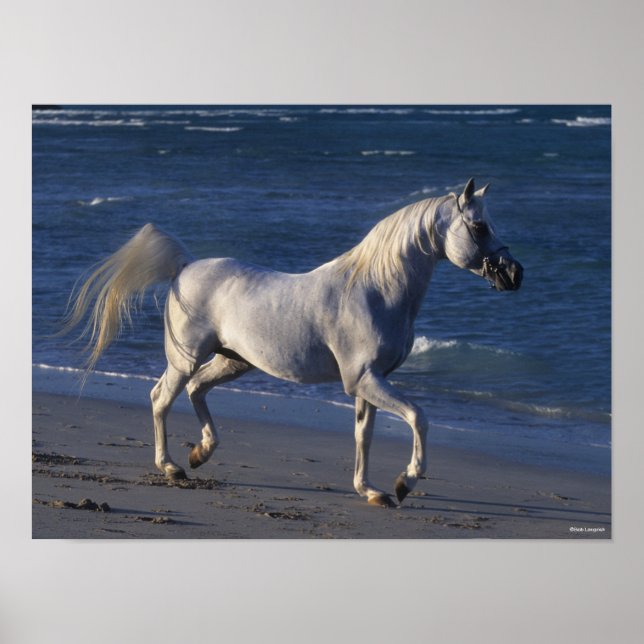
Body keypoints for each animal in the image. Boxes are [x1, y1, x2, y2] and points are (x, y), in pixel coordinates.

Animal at [63, 178, 523, 507]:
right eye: (479, 226)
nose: (514, 274)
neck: (374, 291)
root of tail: (185, 266)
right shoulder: (364, 380)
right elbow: (418, 417)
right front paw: (404, 482)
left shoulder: (369, 383)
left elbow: (364, 435)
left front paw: (370, 491)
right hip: (185, 359)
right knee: (161, 398)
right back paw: (172, 467)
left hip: (233, 362)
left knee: (196, 391)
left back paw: (201, 453)